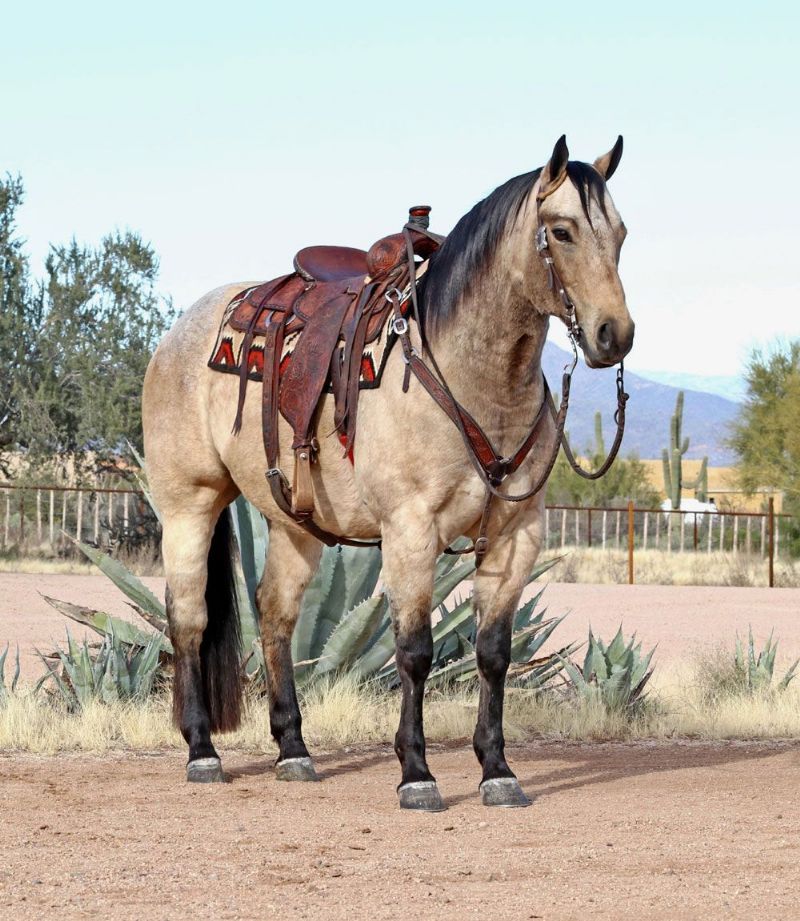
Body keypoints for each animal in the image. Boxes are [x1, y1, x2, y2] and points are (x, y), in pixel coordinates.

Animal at [142, 135, 635, 810]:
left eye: (622, 232)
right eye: (561, 231)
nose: (616, 334)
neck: (467, 375)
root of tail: (178, 332)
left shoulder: (516, 533)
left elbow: (493, 652)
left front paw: (497, 769)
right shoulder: (410, 531)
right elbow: (415, 652)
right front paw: (417, 773)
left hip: (292, 523)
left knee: (275, 615)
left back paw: (293, 751)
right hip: (189, 503)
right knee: (189, 617)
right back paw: (201, 751)